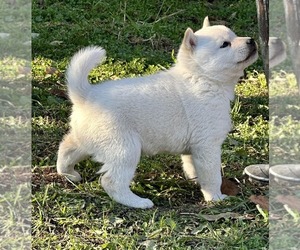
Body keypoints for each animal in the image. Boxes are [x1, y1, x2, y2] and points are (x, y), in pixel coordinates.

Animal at [56, 17, 258, 209]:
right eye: (225, 44)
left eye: (234, 35)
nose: (251, 40)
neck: (201, 78)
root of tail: (86, 96)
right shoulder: (207, 146)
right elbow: (212, 175)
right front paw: (215, 198)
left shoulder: (194, 149)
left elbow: (193, 168)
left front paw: (197, 183)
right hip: (125, 149)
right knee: (111, 181)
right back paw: (138, 202)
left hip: (86, 141)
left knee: (66, 149)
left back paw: (68, 174)